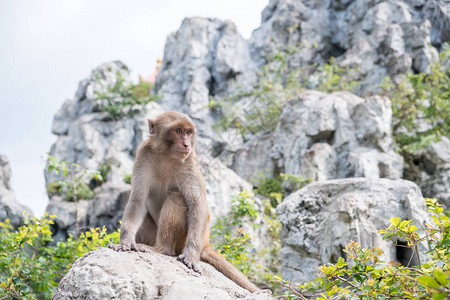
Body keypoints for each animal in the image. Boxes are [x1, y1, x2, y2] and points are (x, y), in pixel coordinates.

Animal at [110, 110, 260, 292]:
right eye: (178, 131)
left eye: (188, 132)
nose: (186, 144)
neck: (167, 156)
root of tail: (205, 245)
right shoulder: (143, 155)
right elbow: (137, 200)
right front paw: (125, 241)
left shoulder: (190, 162)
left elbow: (197, 206)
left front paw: (191, 255)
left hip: (183, 241)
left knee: (176, 196)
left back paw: (162, 250)